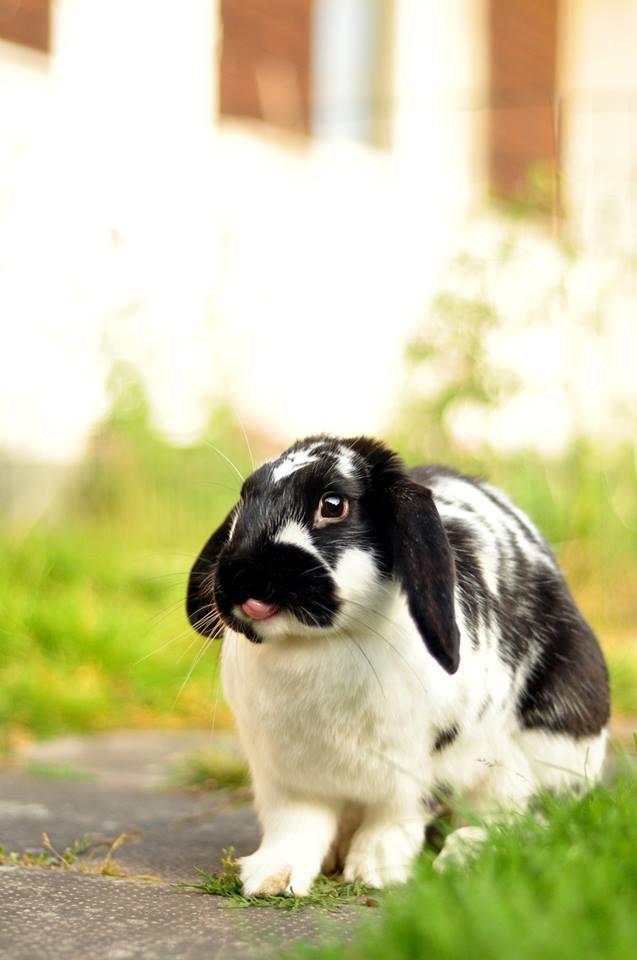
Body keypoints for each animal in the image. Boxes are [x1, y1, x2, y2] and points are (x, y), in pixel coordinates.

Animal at [184, 436, 608, 892]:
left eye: (332, 505)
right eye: (246, 497)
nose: (245, 574)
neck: (316, 643)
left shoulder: (420, 771)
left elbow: (395, 819)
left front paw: (375, 871)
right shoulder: (286, 779)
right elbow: (296, 827)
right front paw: (271, 877)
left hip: (542, 757)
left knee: (524, 821)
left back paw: (462, 855)